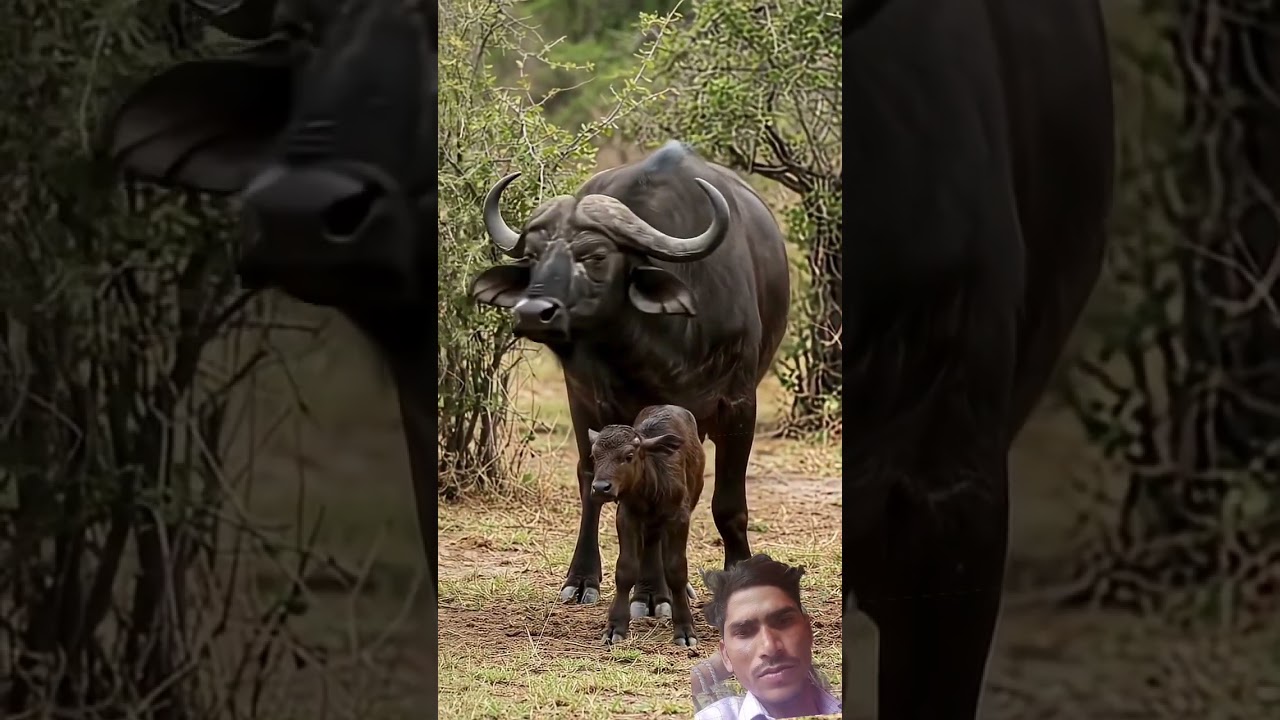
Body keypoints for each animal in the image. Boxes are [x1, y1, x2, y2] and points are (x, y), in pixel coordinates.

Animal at [470, 140, 790, 612]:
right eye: (533, 257)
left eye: (596, 256)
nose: (532, 312)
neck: (663, 344)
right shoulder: (613, 411)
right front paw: (651, 593)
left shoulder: (738, 404)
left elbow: (728, 505)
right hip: (580, 401)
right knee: (588, 480)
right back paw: (584, 580)